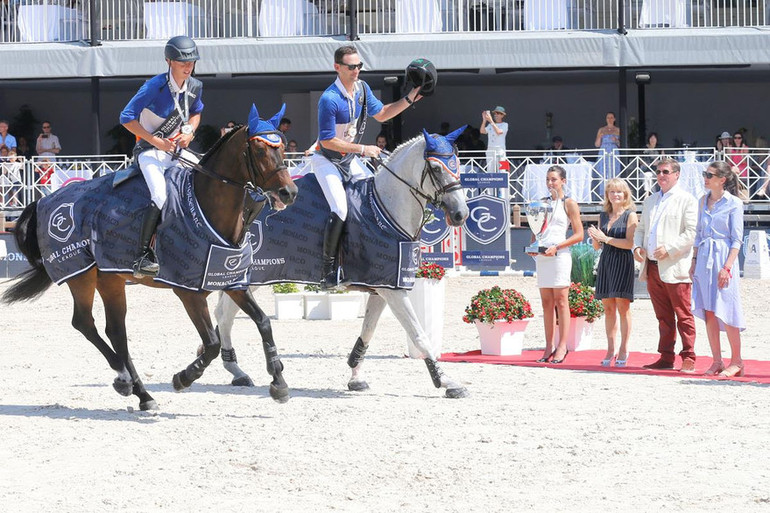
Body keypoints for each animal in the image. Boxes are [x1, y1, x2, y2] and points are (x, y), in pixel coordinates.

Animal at [1, 103, 296, 408]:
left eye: (283, 146)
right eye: (259, 150)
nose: (289, 192)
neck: (207, 207)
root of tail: (45, 200)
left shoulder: (231, 281)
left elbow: (263, 323)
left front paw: (279, 382)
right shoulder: (187, 291)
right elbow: (213, 344)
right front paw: (183, 378)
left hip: (110, 279)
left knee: (116, 331)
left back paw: (141, 392)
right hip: (80, 274)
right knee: (84, 322)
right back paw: (123, 377)